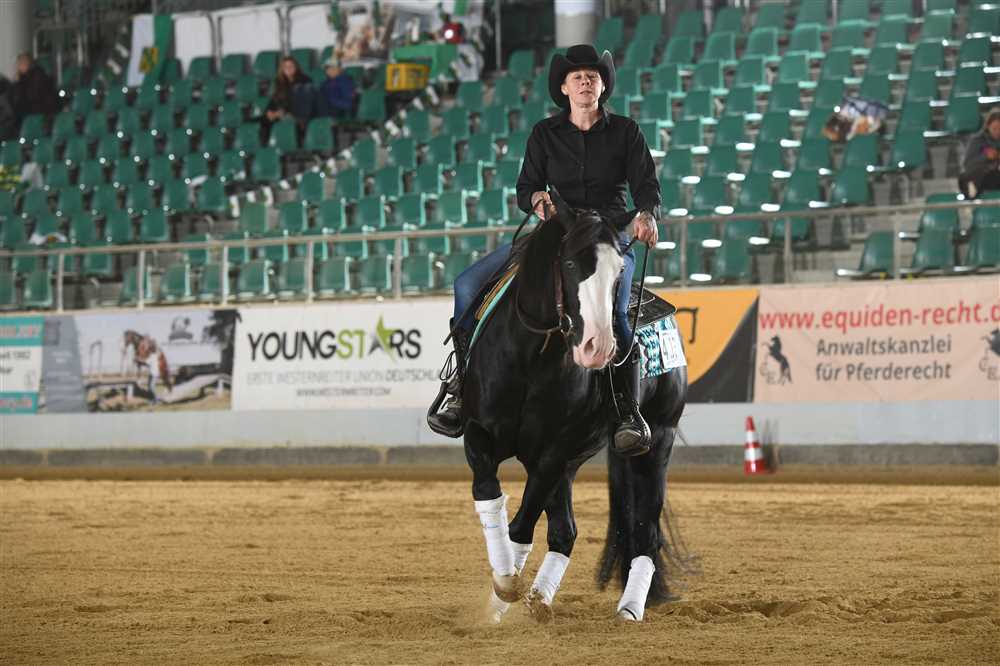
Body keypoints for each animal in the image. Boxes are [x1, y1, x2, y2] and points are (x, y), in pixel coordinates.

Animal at [460, 191, 693, 624]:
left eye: (618, 270)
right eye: (568, 263)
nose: (597, 348)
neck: (532, 355)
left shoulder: (555, 450)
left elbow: (523, 523)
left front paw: (506, 587)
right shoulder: (479, 433)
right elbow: (489, 492)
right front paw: (503, 583)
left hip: (657, 439)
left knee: (645, 534)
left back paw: (629, 608)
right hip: (571, 462)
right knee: (564, 531)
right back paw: (537, 599)